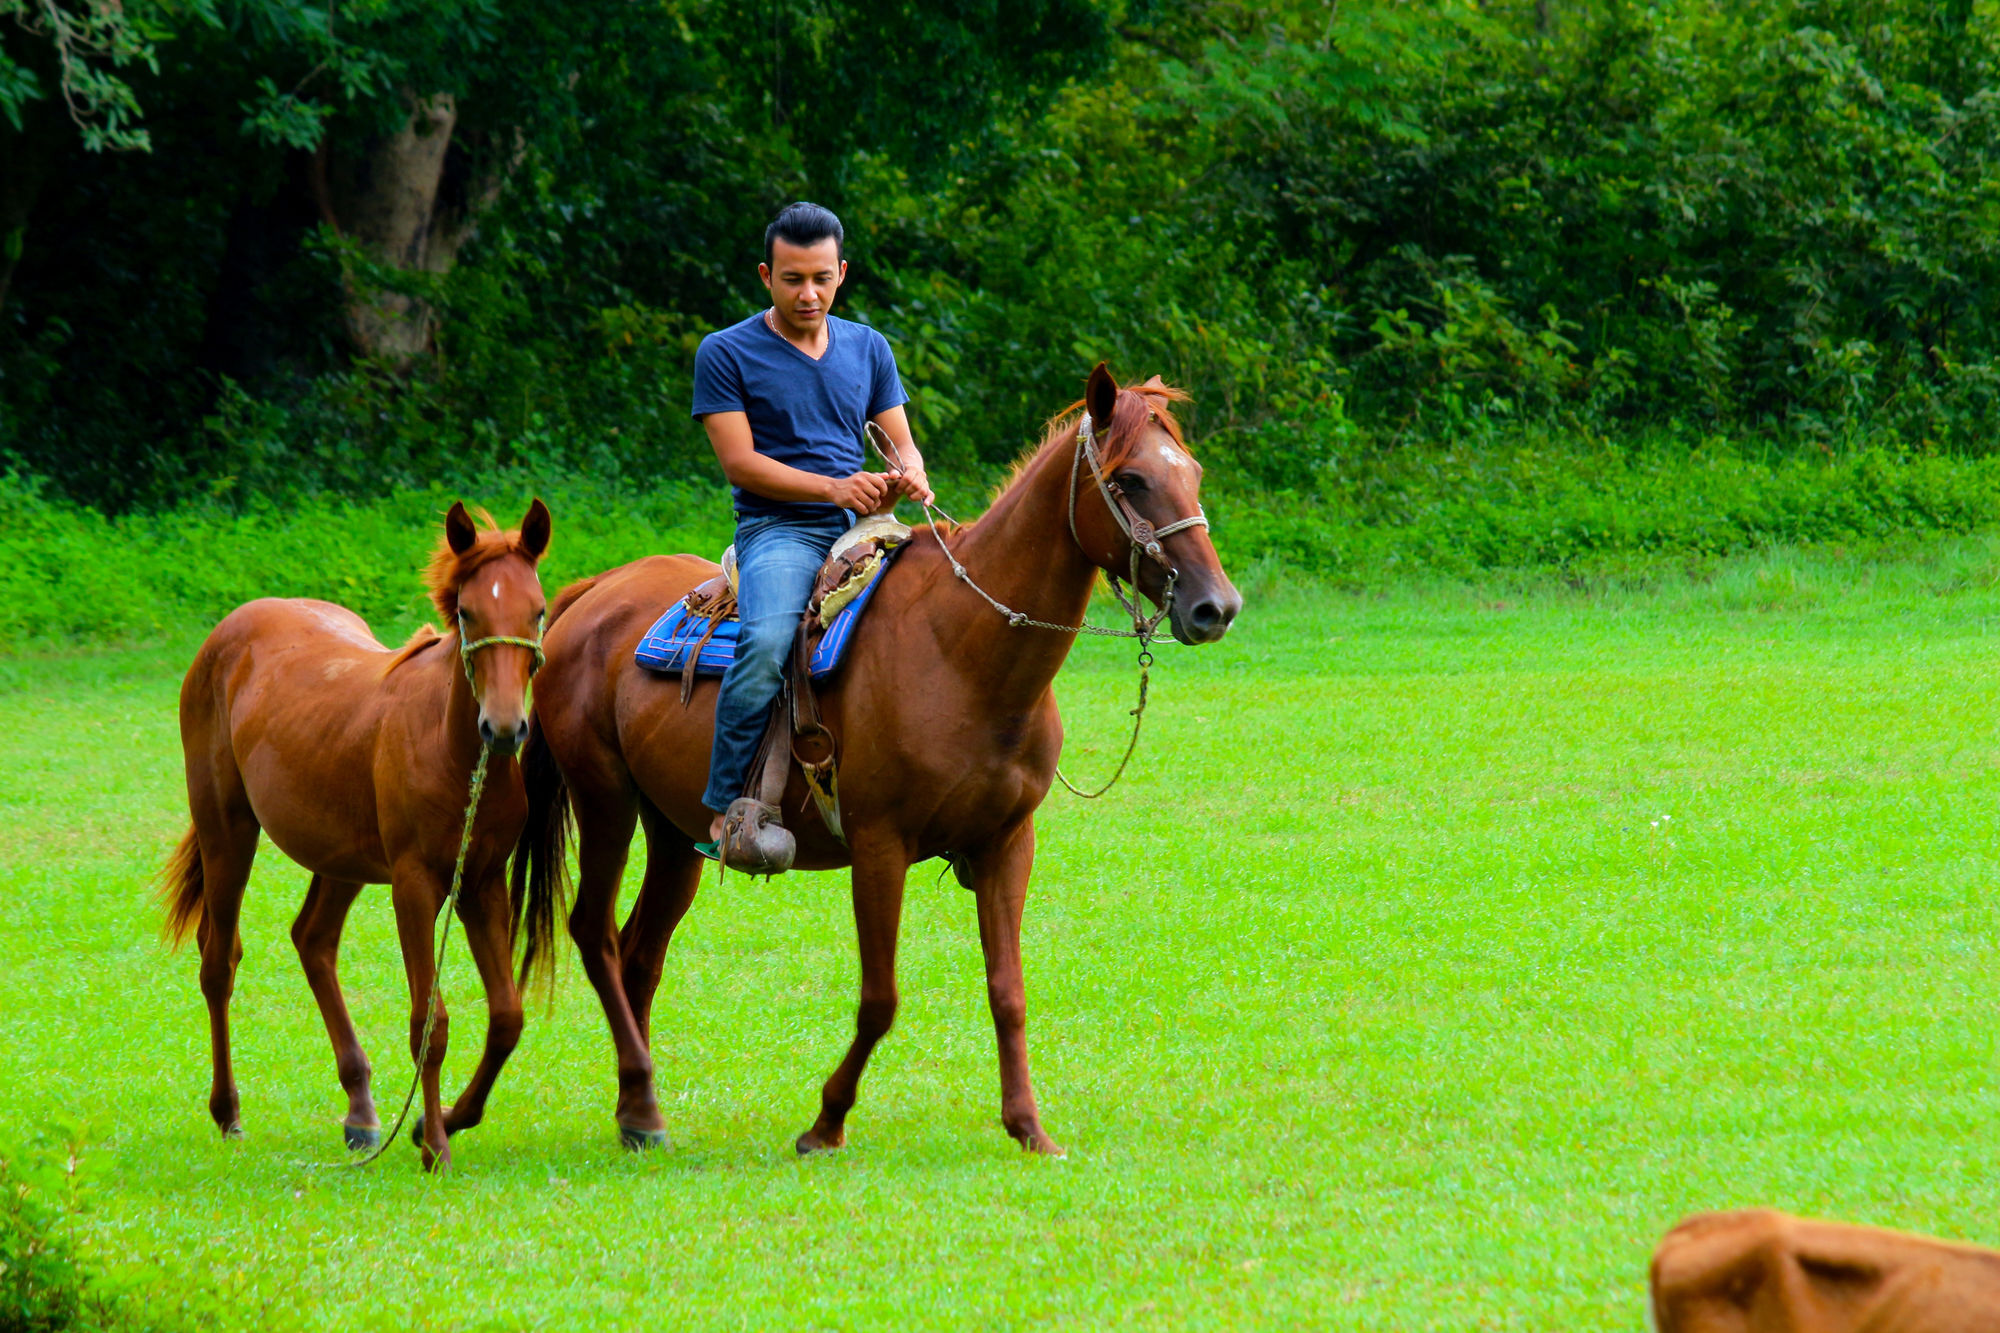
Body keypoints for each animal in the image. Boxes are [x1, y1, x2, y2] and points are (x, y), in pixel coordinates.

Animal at [161, 496, 552, 1160]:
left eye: (539, 610)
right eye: (467, 613)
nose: (503, 729)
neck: (451, 750)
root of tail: (229, 629)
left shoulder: (480, 882)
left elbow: (506, 1016)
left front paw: (441, 1121)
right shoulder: (414, 885)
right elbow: (429, 1021)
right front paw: (435, 1145)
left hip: (339, 857)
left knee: (312, 940)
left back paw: (362, 1113)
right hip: (227, 830)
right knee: (219, 961)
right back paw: (228, 1111)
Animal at [516, 366, 1232, 1152]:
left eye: (1193, 473)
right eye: (1131, 479)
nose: (1216, 607)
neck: (962, 648)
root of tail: (594, 592)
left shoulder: (1008, 842)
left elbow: (1007, 991)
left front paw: (1028, 1127)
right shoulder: (880, 846)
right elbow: (880, 997)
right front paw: (826, 1123)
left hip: (673, 831)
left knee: (639, 953)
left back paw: (637, 1109)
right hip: (604, 801)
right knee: (596, 937)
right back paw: (642, 1103)